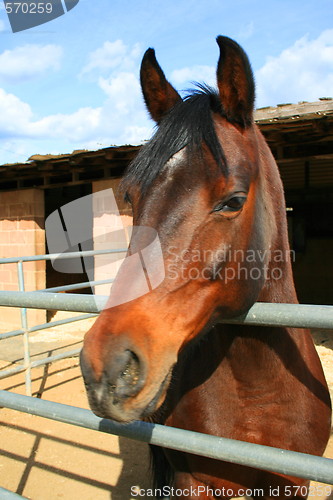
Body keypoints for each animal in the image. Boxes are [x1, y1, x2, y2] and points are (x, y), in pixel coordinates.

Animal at [80, 37, 330, 498]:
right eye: (130, 196)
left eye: (233, 201)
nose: (107, 366)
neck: (257, 397)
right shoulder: (193, 480)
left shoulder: (293, 483)